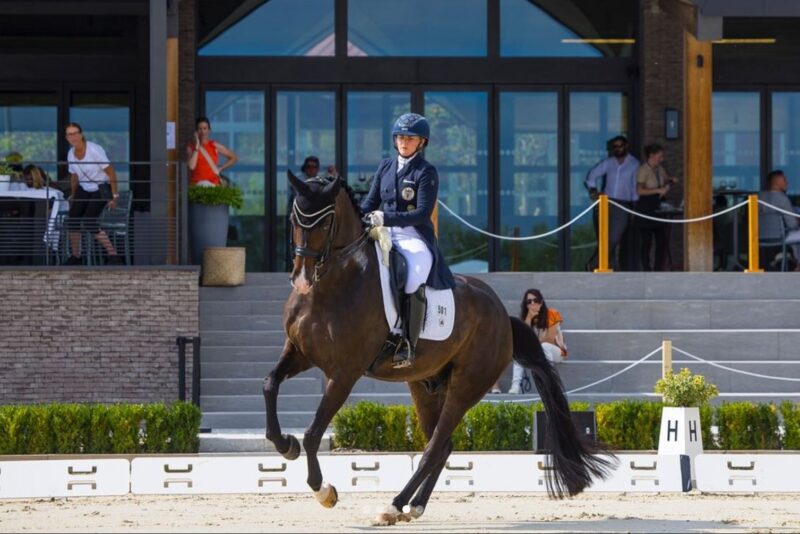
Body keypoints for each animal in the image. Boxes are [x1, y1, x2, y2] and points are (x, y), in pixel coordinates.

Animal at [262, 173, 612, 528]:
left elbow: (312, 433)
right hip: (424, 384)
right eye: (294, 220)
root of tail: (503, 316)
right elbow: (269, 384)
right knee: (442, 445)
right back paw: (414, 506)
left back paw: (393, 506)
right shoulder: (299, 351)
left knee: (433, 447)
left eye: (323, 222)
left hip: (465, 385)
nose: (301, 279)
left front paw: (324, 491)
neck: (331, 287)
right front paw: (284, 445)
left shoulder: (345, 373)